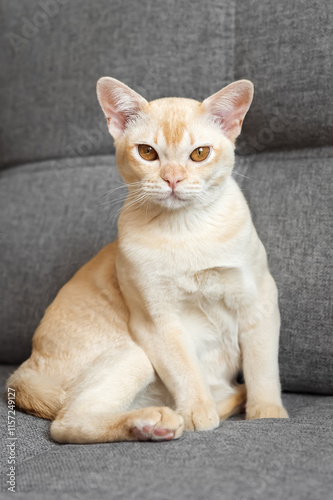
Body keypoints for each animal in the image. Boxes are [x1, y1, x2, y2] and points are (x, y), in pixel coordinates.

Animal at [7, 76, 288, 444]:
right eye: (147, 152)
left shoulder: (259, 300)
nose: (172, 179)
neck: (187, 231)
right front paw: (199, 414)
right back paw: (157, 422)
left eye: (200, 153)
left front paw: (267, 414)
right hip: (136, 355)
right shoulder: (157, 321)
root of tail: (22, 371)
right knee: (68, 423)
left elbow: (262, 369)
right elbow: (186, 372)